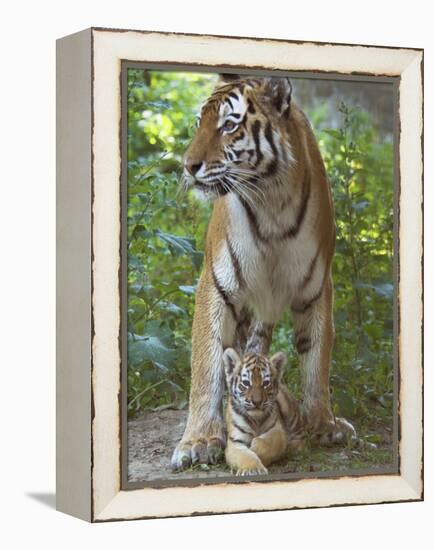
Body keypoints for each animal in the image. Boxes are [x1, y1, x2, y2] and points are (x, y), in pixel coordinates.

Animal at [171, 74, 354, 470]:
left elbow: (316, 358)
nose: (188, 166)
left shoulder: (317, 286)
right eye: (199, 123)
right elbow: (207, 364)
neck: (272, 201)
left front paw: (323, 423)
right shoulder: (217, 284)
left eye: (228, 125)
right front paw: (199, 441)